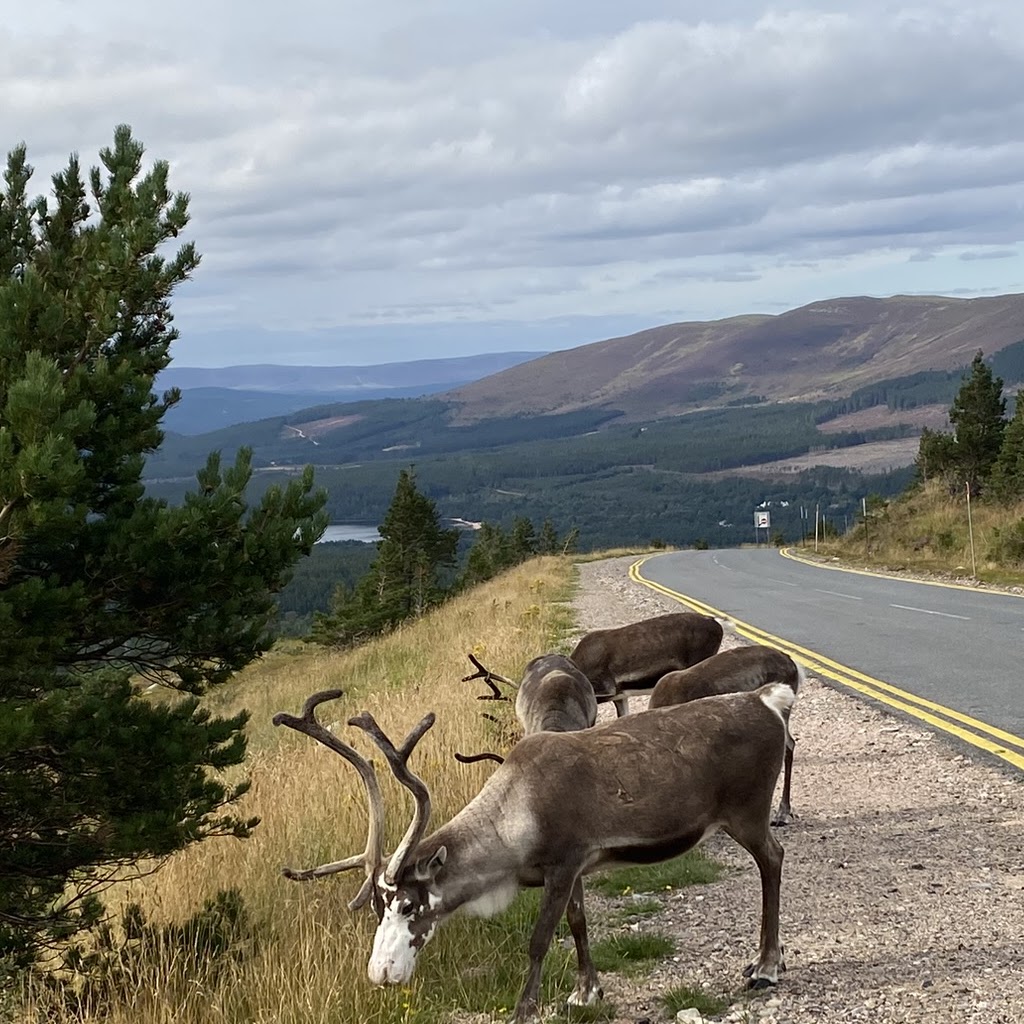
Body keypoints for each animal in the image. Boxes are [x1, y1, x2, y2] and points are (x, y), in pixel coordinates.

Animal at [273, 682, 793, 1023]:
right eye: (376, 908)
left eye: (407, 905)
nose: (382, 973)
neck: (512, 825)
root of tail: (770, 699)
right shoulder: (577, 865)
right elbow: (579, 921)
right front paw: (585, 993)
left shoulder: (562, 863)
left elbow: (541, 938)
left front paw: (525, 1009)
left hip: (748, 813)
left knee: (773, 857)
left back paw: (766, 966)